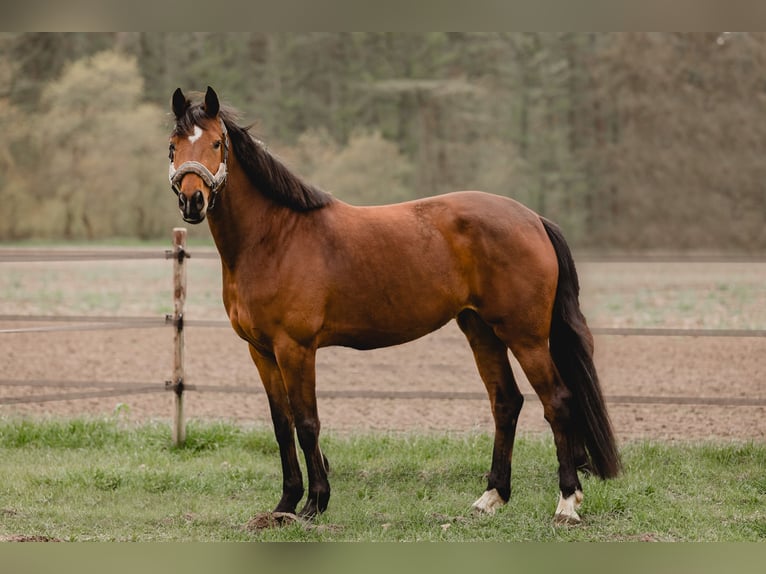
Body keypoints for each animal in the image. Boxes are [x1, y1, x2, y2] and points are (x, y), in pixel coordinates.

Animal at [170, 84, 624, 528]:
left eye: (216, 143)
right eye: (174, 144)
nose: (193, 200)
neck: (274, 237)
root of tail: (533, 219)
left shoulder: (295, 348)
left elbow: (307, 423)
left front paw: (315, 504)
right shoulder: (261, 351)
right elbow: (282, 426)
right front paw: (284, 505)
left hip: (524, 336)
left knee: (557, 402)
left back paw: (567, 503)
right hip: (481, 330)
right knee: (506, 402)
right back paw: (491, 498)